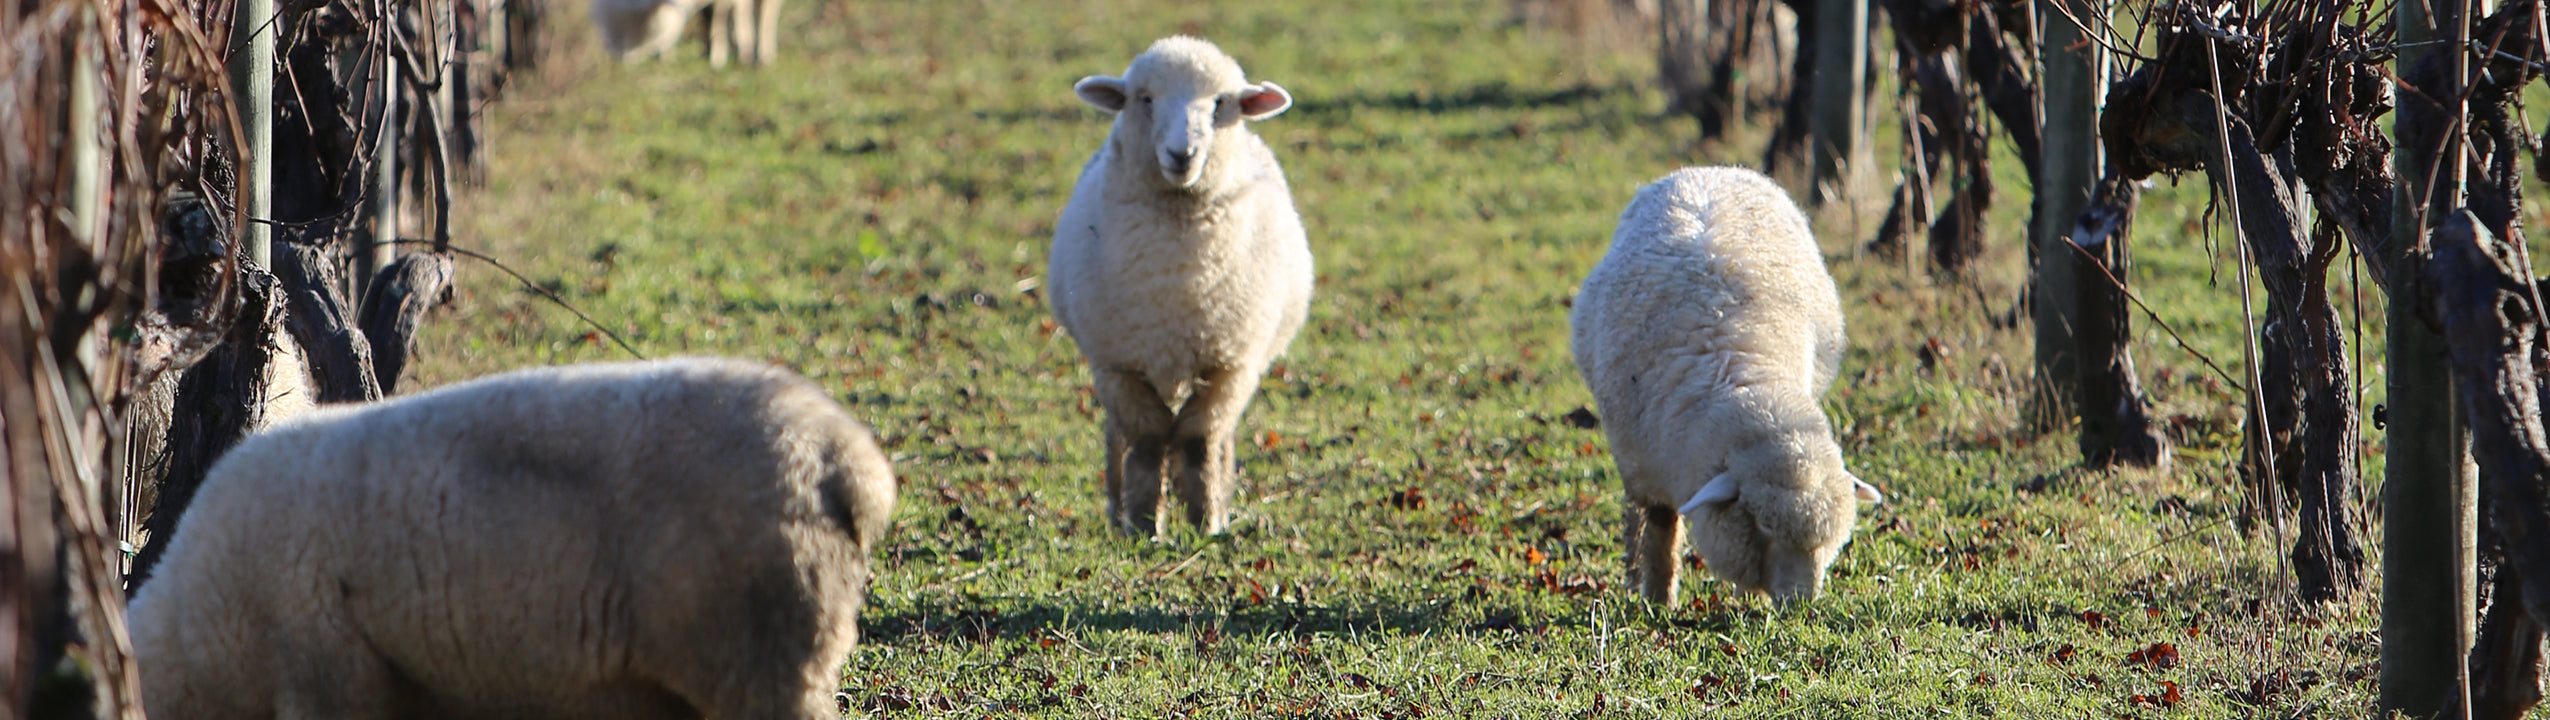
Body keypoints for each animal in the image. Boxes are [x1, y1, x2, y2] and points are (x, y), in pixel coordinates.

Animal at [1047, 36, 1312, 537]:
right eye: (1145, 99)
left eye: (1221, 103)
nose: (1181, 154)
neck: (1180, 278)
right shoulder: (1118, 364)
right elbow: (1148, 437)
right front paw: (1142, 524)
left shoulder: (1231, 365)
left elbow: (1198, 438)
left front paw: (1206, 521)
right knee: (1117, 436)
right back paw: (1115, 507)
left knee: (1217, 438)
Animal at [1568, 166, 1883, 605]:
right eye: (1764, 526)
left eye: (1825, 541)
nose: (1801, 602)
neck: (1742, 373)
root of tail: (1711, 170)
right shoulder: (1644, 464)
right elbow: (1661, 531)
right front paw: (1659, 598)